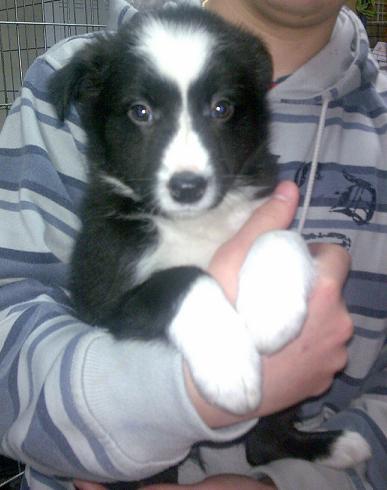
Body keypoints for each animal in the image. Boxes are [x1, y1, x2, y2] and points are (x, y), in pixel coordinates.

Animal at [49, 3, 372, 470]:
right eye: (140, 112)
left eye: (221, 108)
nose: (188, 187)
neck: (194, 222)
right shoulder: (103, 298)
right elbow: (180, 278)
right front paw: (230, 366)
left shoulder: (263, 206)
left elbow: (284, 238)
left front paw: (271, 311)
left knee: (263, 446)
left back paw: (335, 446)